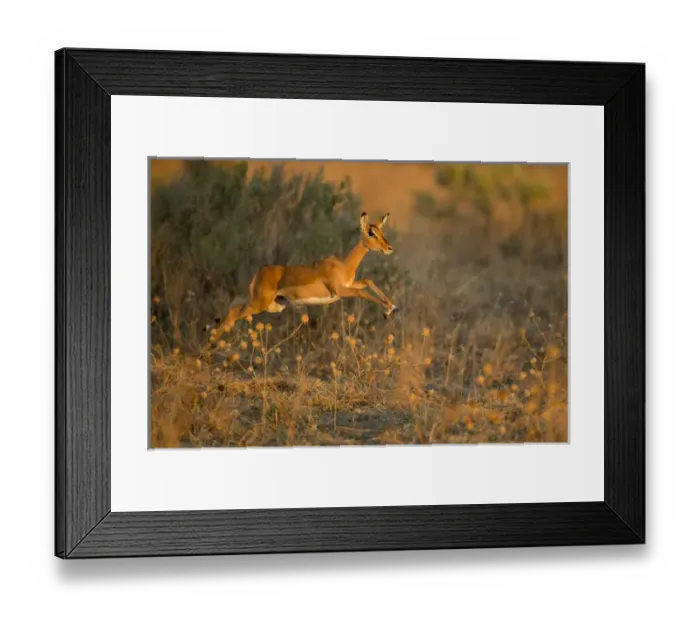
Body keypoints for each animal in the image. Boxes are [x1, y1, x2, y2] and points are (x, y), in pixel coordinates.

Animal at [204, 212, 399, 342]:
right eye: (371, 232)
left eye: (382, 232)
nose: (389, 248)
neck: (344, 266)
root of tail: (259, 273)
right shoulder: (339, 291)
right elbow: (361, 293)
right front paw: (388, 309)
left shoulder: (349, 284)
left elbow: (367, 281)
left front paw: (392, 307)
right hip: (258, 304)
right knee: (231, 316)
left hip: (271, 305)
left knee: (231, 309)